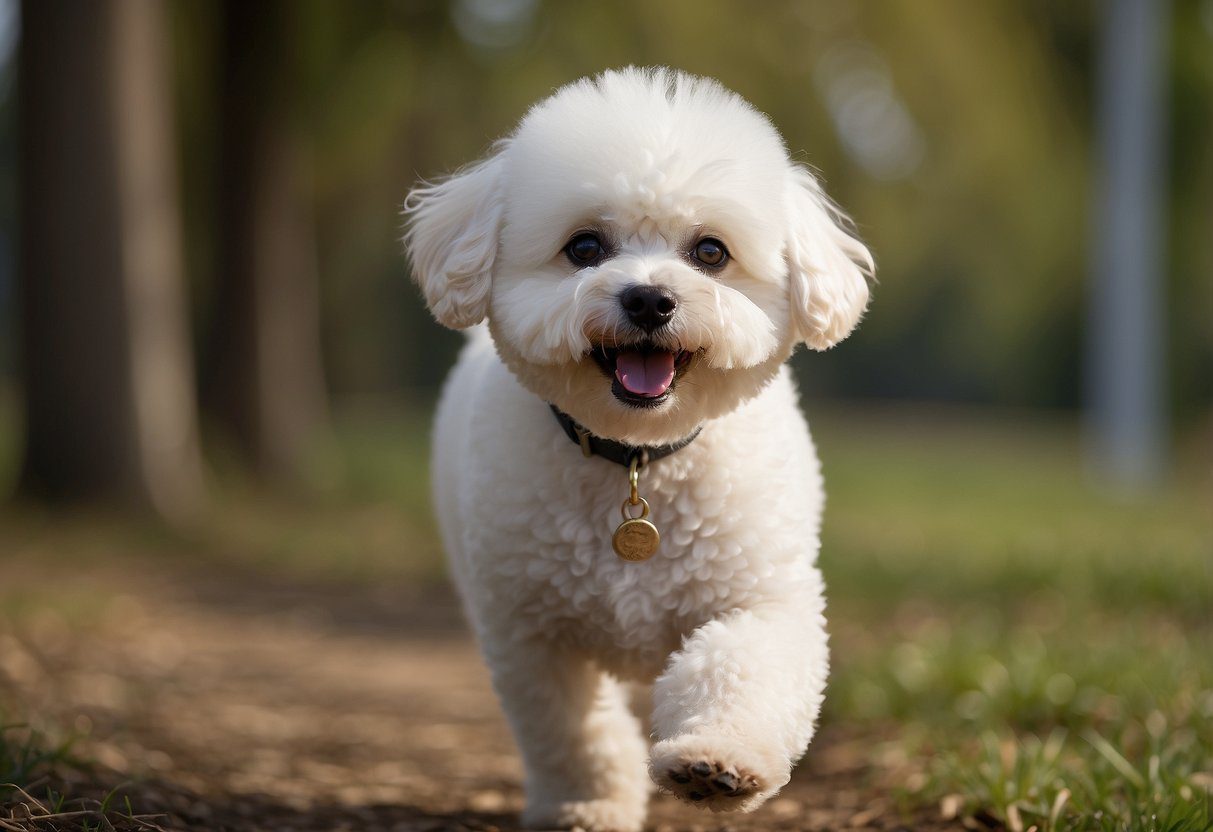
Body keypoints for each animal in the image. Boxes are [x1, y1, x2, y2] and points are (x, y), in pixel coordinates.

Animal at [405, 66, 873, 832]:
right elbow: (573, 731)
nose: (649, 300)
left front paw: (717, 761)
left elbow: (742, 662)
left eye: (710, 251)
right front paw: (588, 803)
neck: (636, 459)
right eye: (584, 247)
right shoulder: (532, 635)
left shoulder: (761, 597)